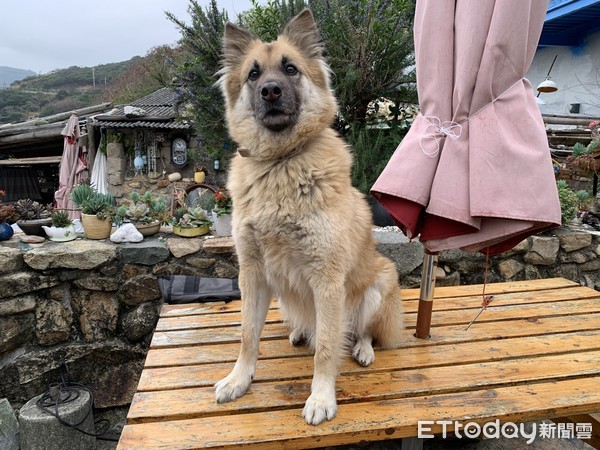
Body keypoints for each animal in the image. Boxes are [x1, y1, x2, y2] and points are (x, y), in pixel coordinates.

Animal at [213, 9, 406, 426]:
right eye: (253, 74)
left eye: (290, 69)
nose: (270, 91)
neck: (280, 162)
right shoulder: (252, 273)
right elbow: (247, 334)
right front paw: (239, 379)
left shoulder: (327, 279)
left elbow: (329, 348)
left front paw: (321, 397)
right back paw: (301, 333)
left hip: (380, 280)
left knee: (362, 331)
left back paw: (363, 349)